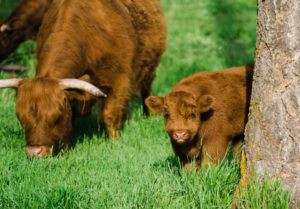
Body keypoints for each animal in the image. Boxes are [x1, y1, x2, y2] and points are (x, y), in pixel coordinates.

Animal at [0, 0, 166, 157]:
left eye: (58, 115)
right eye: (20, 116)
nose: (35, 152)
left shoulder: (118, 81)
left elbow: (110, 116)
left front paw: (114, 143)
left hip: (149, 68)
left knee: (145, 91)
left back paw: (148, 116)